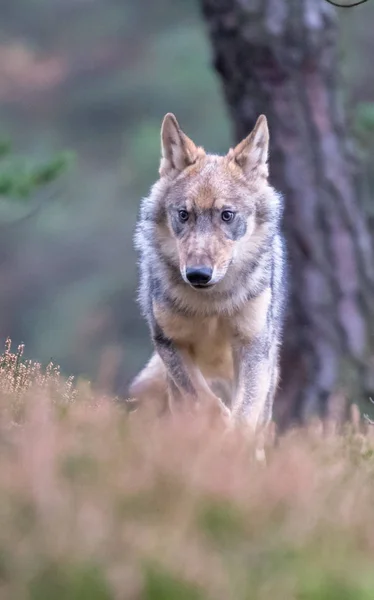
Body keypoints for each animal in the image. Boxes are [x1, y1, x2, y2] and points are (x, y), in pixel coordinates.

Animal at [129, 111, 286, 432]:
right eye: (183, 215)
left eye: (227, 215)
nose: (198, 274)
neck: (213, 303)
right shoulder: (170, 343)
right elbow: (205, 400)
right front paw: (217, 427)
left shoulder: (253, 346)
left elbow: (243, 416)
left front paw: (232, 438)